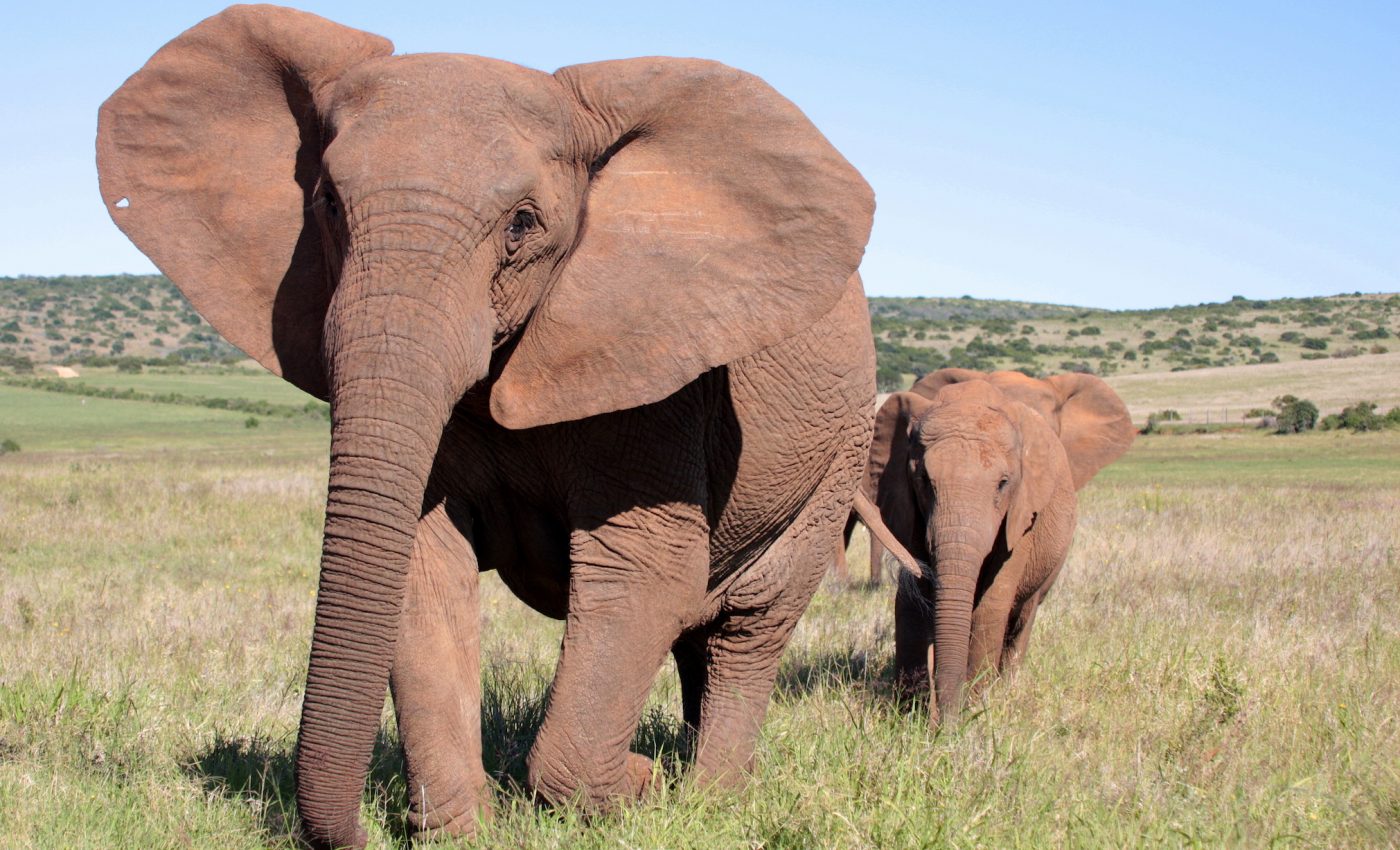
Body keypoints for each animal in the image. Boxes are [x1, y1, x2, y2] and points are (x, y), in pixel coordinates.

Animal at [96, 6, 876, 847]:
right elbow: (422, 567)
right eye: (328, 204)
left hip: (840, 451)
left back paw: (713, 798)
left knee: (750, 623)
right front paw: (464, 828)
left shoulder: (663, 376)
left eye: (523, 224)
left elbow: (643, 574)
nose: (359, 829)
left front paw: (633, 786)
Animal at [856, 369, 1134, 725]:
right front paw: (909, 715)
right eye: (924, 481)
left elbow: (992, 604)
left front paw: (974, 710)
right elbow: (910, 602)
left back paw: (1005, 690)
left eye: (1003, 484)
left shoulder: (1023, 512)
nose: (944, 726)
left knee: (1021, 620)